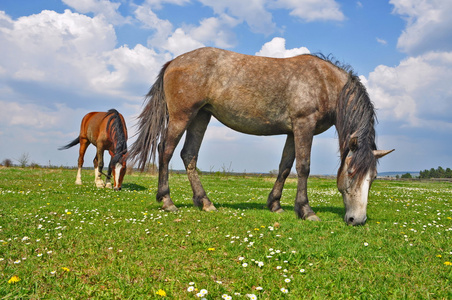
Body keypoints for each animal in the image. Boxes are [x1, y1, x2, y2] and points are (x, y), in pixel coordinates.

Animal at [129, 47, 394, 225]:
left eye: (374, 177)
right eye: (351, 172)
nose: (357, 219)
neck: (324, 81)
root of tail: (174, 61)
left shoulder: (292, 132)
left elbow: (285, 167)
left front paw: (275, 205)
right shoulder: (303, 126)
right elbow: (304, 167)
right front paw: (306, 211)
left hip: (200, 117)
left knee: (189, 155)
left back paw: (205, 202)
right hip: (182, 116)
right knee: (166, 150)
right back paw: (167, 201)